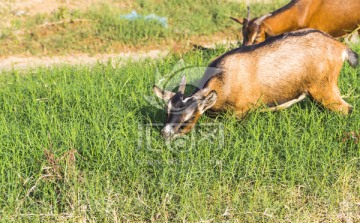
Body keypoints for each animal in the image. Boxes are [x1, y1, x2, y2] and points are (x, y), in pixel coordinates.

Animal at [153, 28, 358, 139]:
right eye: (168, 112)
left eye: (187, 119)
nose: (164, 133)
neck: (224, 81)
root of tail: (340, 48)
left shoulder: (240, 111)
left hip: (324, 87)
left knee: (346, 109)